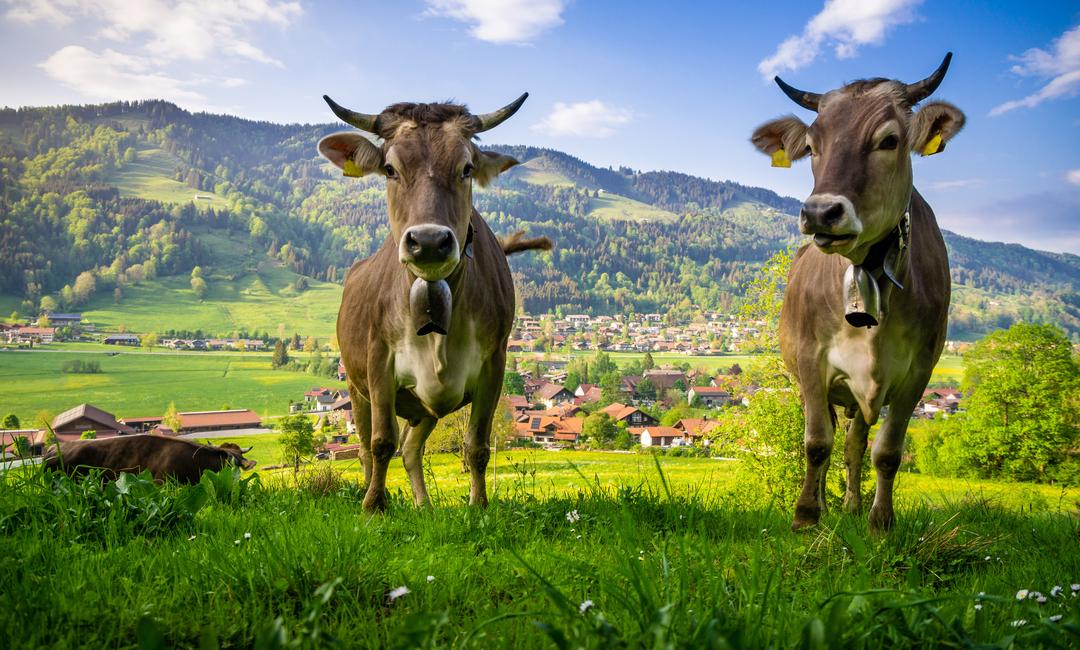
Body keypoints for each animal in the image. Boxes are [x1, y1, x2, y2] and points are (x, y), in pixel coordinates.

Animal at [317, 93, 551, 512]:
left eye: (466, 168)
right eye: (390, 169)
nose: (428, 241)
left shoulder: (494, 363)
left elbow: (476, 445)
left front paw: (479, 507)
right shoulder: (379, 360)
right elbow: (381, 443)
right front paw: (373, 507)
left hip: (423, 407)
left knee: (412, 449)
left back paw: (423, 505)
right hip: (357, 388)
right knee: (366, 448)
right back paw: (370, 491)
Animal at [750, 53, 963, 532]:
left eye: (889, 140)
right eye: (812, 147)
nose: (819, 212)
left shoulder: (918, 372)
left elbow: (886, 453)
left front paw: (880, 520)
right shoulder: (811, 361)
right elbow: (816, 443)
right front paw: (806, 515)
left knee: (854, 444)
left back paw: (850, 505)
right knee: (834, 440)